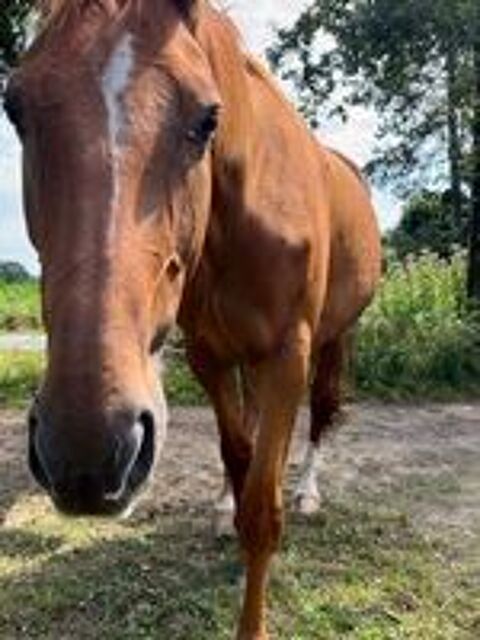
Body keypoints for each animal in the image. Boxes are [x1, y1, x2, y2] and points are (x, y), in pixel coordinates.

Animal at [4, 1, 382, 638]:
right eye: (14, 108)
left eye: (208, 119)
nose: (87, 453)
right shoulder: (208, 355)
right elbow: (238, 456)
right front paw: (230, 513)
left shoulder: (287, 356)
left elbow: (263, 509)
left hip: (336, 338)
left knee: (325, 411)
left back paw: (308, 492)